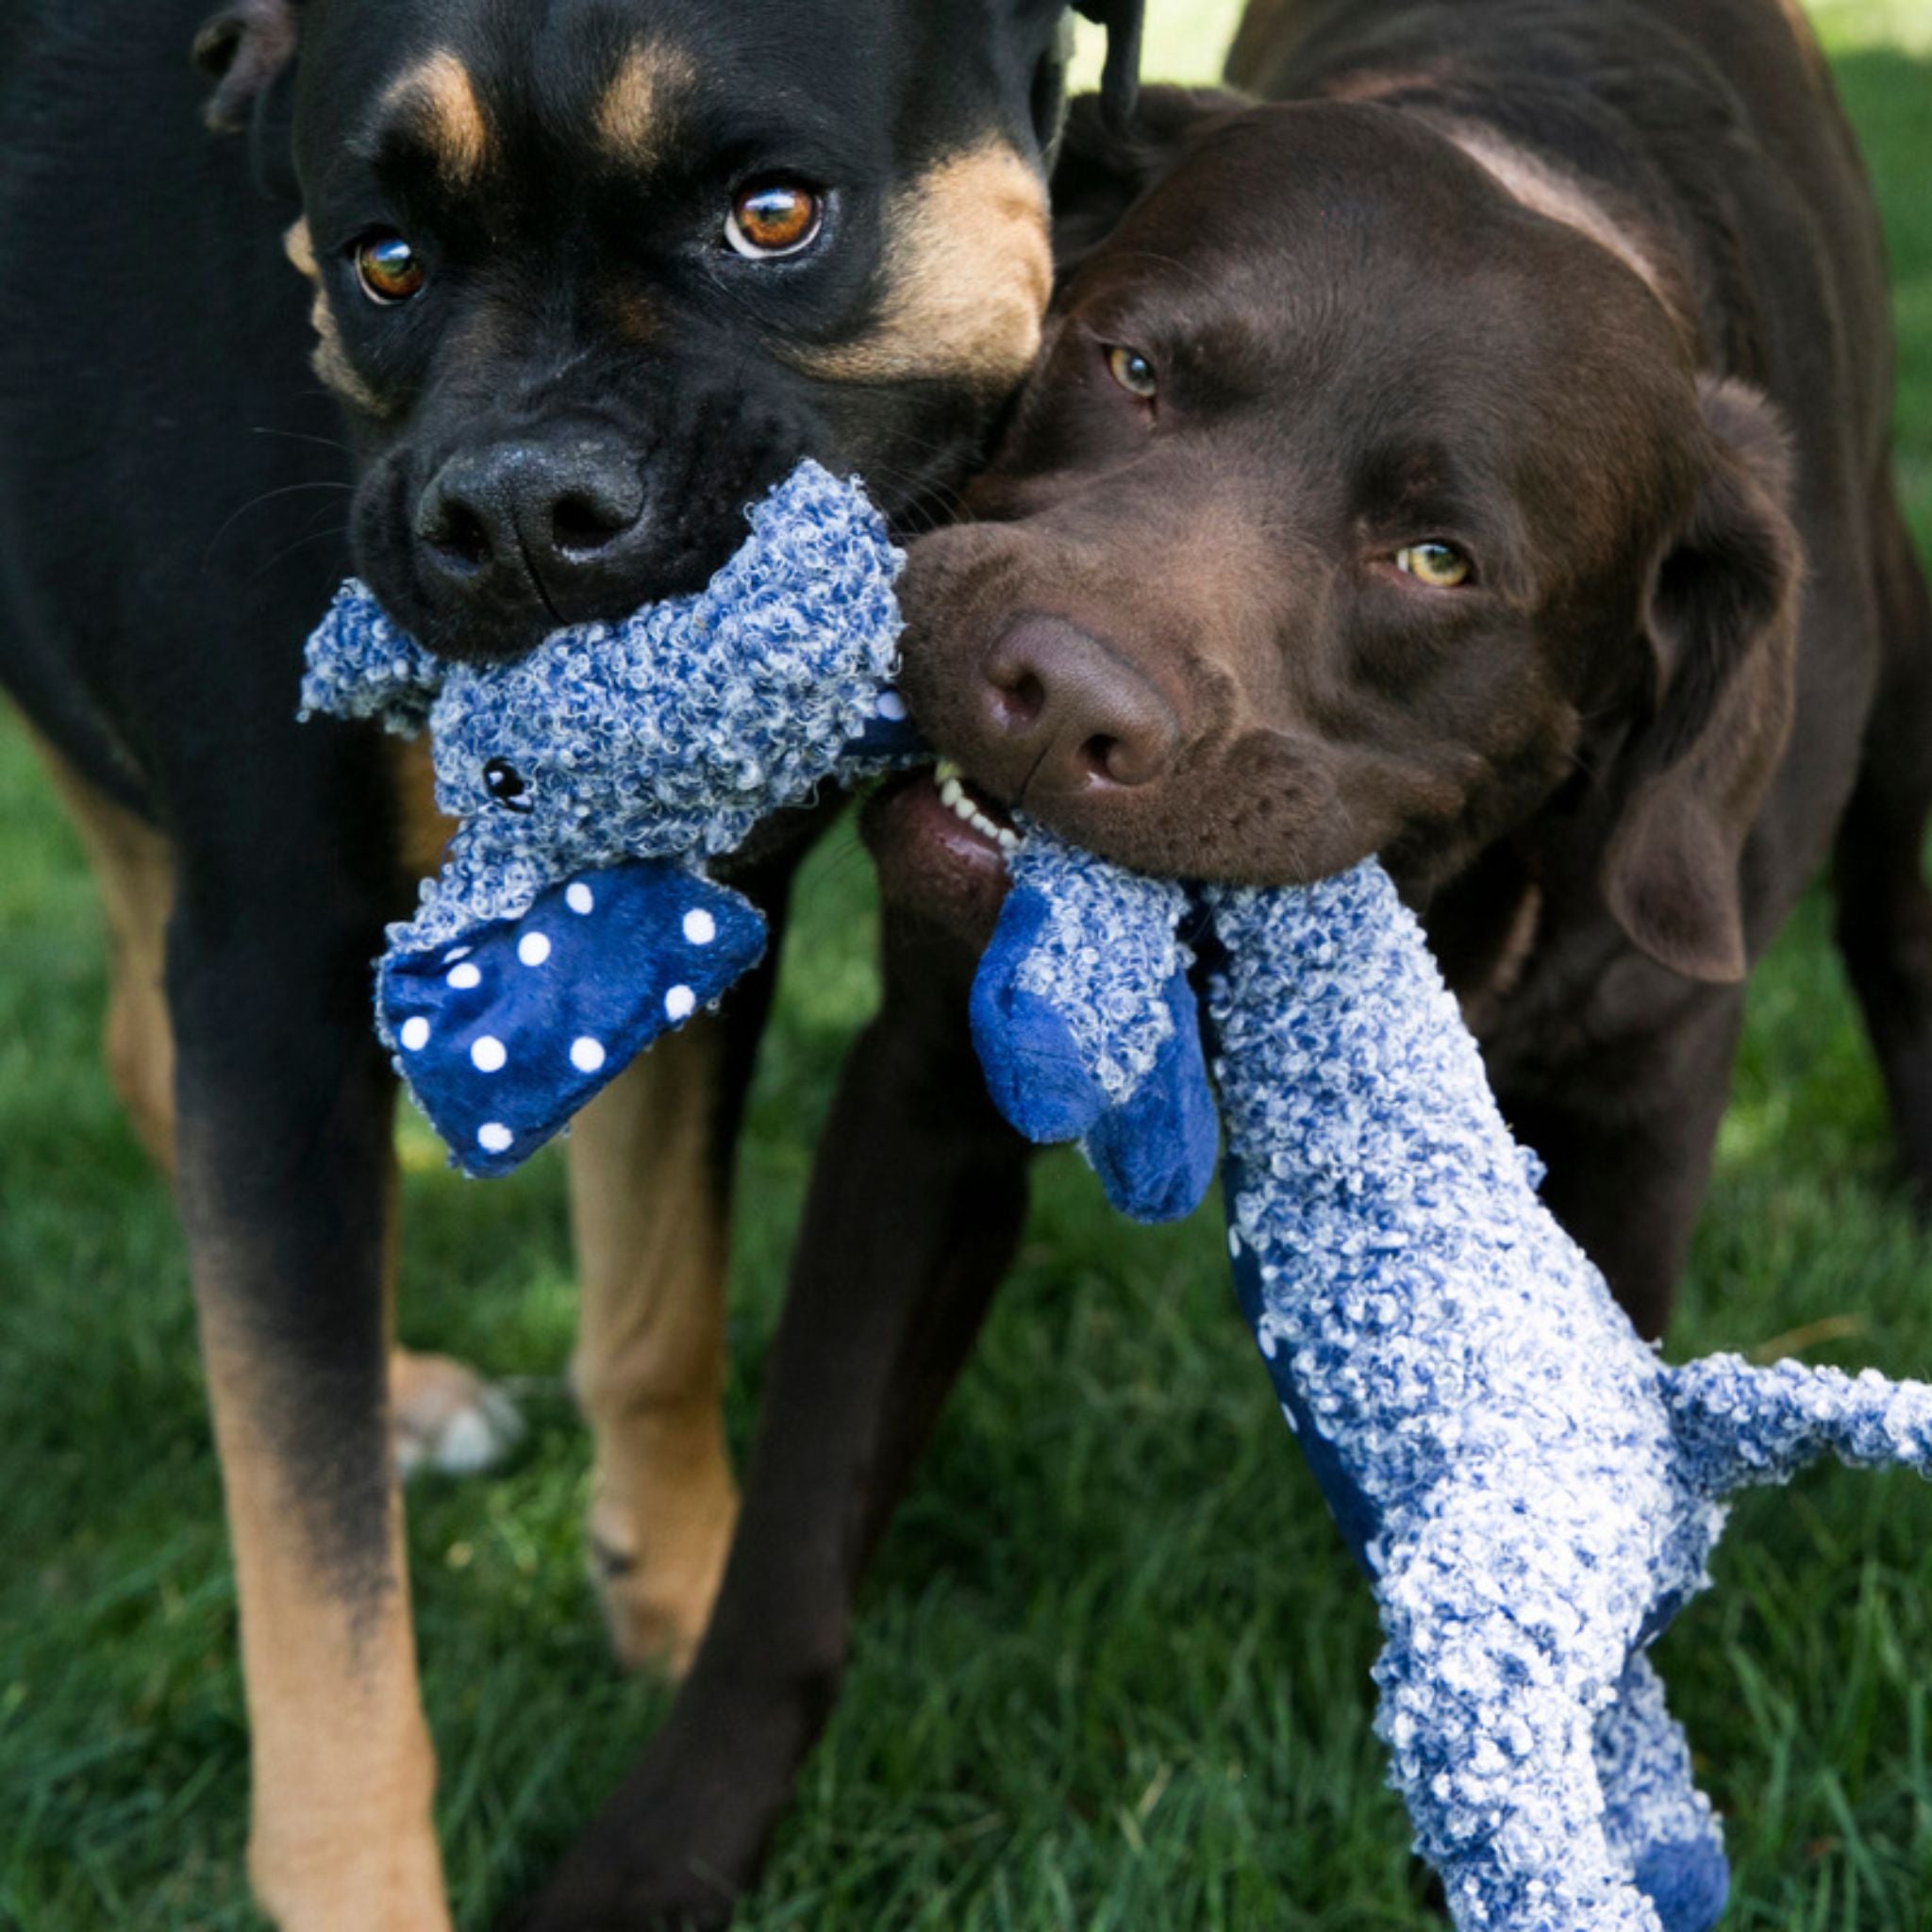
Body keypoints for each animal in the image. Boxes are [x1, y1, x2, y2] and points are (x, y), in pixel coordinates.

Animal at [0, 4, 1143, 1932]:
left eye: (774, 214)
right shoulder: (274, 968)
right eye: (383, 261)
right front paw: (361, 1884)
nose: (520, 512)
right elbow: (314, 1570)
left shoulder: (669, 911)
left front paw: (676, 1602)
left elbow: (656, 1304)